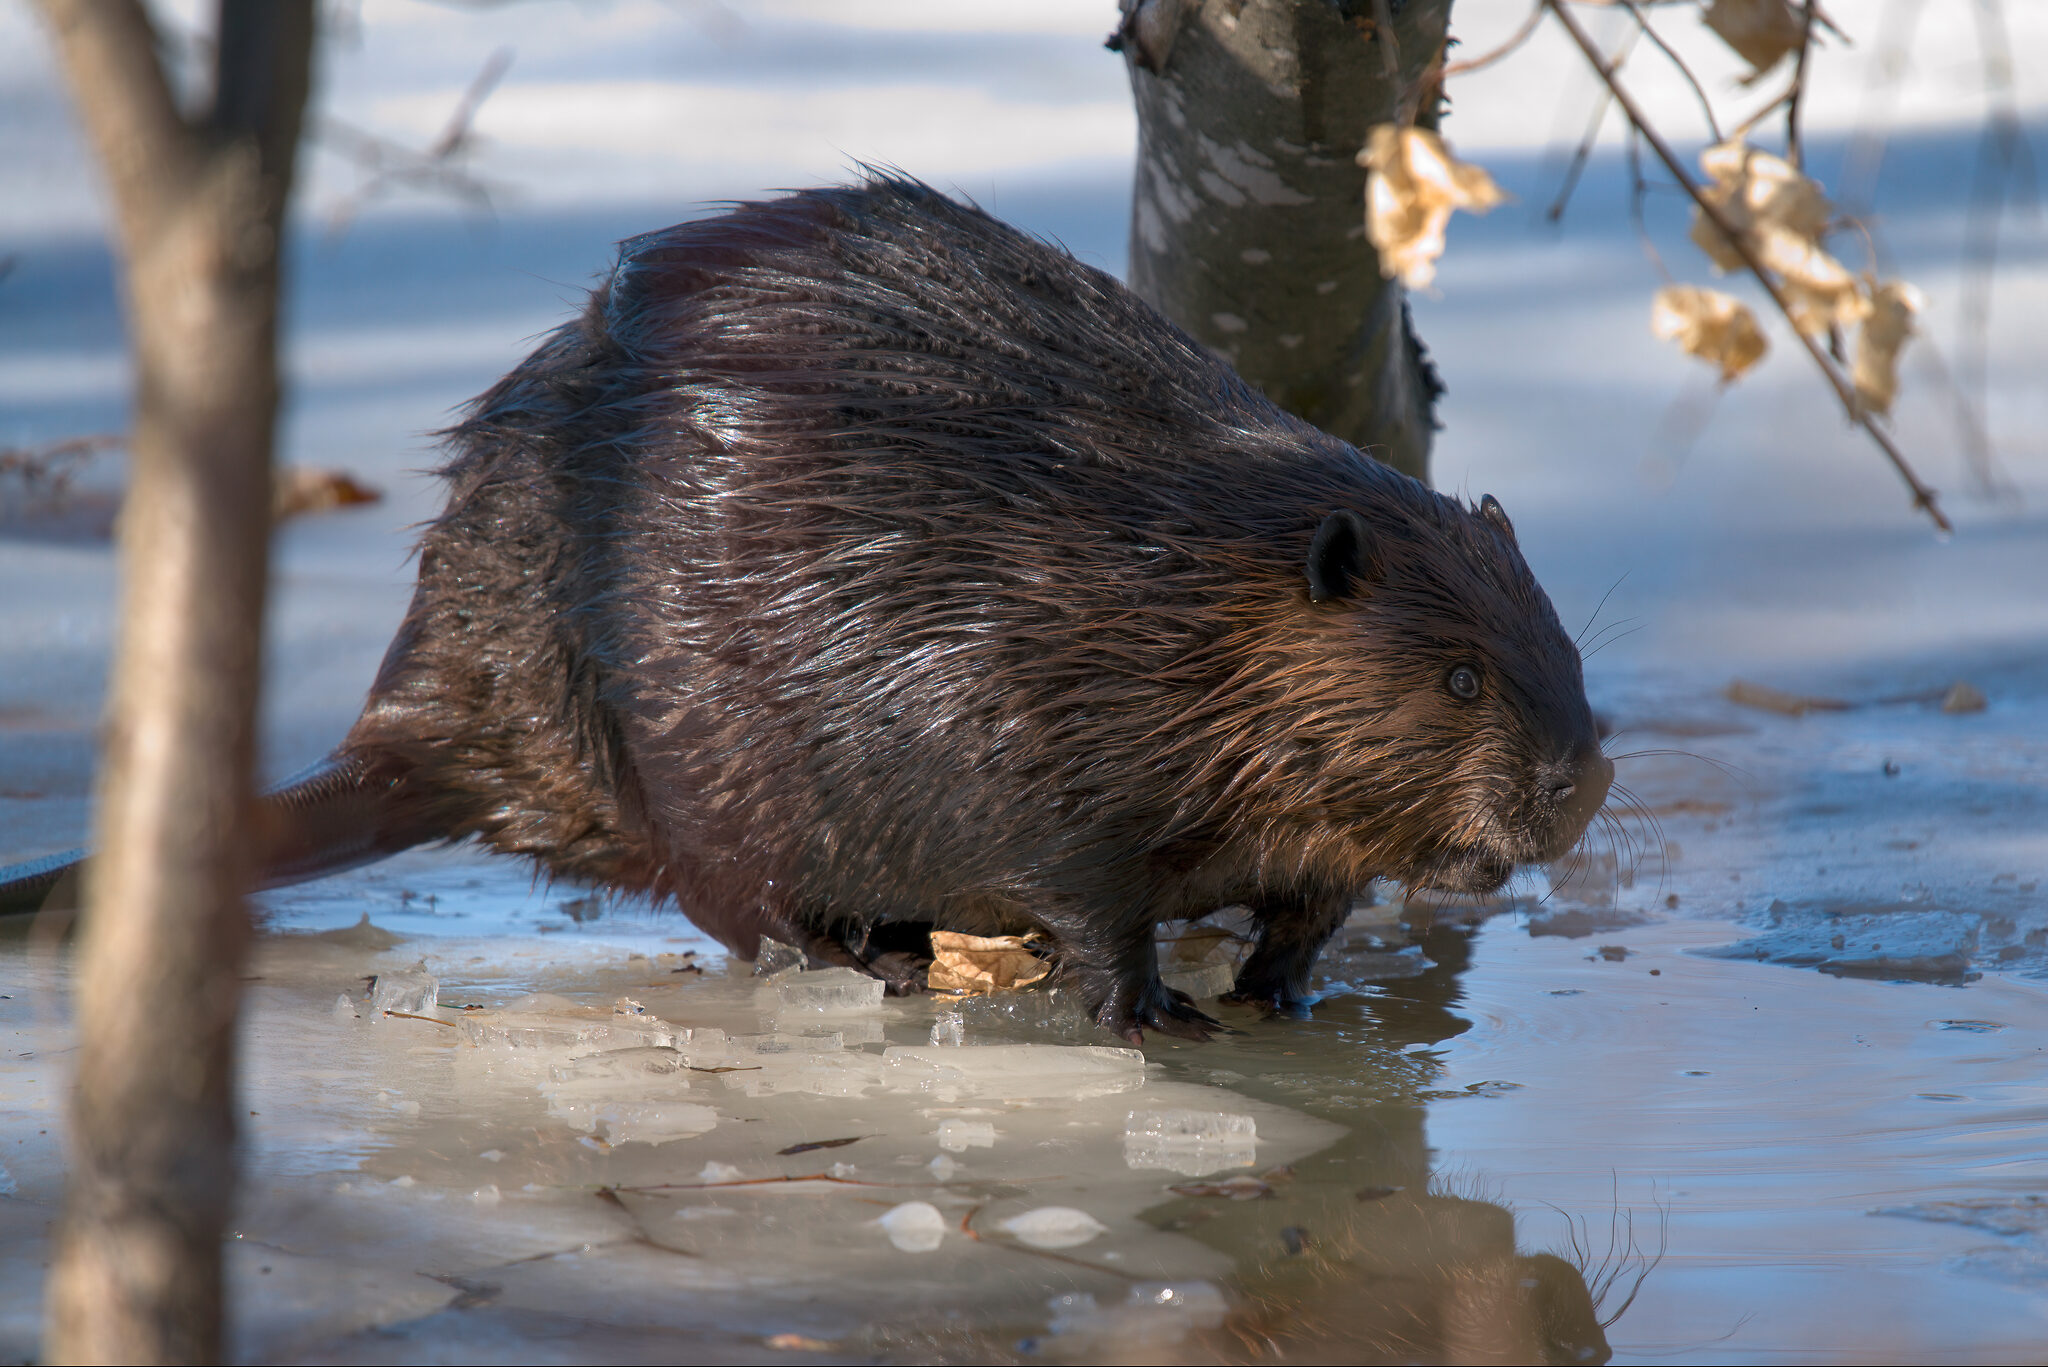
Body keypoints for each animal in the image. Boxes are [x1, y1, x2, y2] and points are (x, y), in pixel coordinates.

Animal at [16, 179, 1613, 1037]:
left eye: (1558, 645)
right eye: (1461, 678)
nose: (1577, 779)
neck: (1162, 575)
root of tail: (423, 723)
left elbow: (1314, 899)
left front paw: (1286, 992)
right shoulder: (1015, 699)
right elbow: (1081, 879)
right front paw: (1148, 1002)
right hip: (666, 742)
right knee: (726, 893)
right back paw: (875, 954)